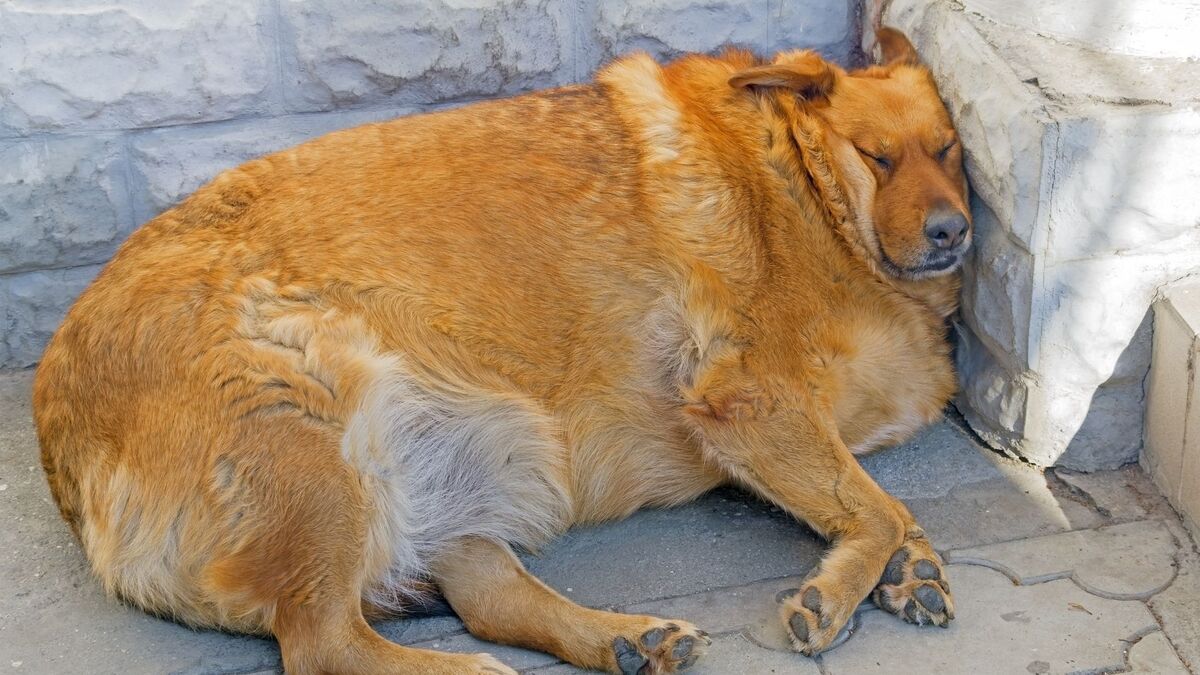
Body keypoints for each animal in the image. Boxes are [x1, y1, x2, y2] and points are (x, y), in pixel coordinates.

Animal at [37, 30, 969, 672]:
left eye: (948, 150)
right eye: (877, 157)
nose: (954, 229)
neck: (807, 190)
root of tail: (55, 431)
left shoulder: (791, 432)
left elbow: (879, 502)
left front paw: (912, 566)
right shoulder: (751, 400)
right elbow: (876, 508)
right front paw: (844, 587)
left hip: (464, 461)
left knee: (490, 599)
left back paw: (626, 638)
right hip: (311, 445)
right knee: (324, 643)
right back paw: (472, 669)